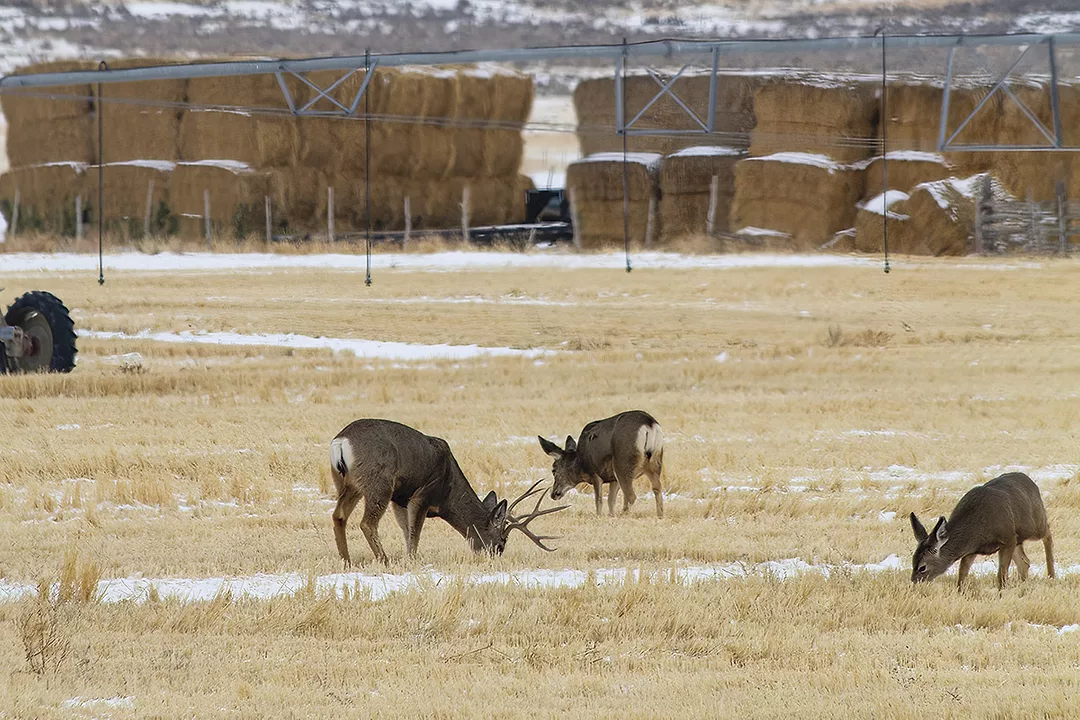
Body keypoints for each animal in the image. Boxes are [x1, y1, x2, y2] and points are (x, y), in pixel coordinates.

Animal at [330, 418, 568, 566]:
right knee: (366, 523)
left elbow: (406, 531)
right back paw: (384, 560)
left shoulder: (400, 499)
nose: (493, 559)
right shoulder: (423, 494)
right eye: (500, 545)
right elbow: (414, 533)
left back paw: (346, 561)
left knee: (339, 516)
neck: (448, 493)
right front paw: (411, 560)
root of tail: (341, 441)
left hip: (347, 483)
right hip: (379, 482)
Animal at [910, 471, 1055, 591]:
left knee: (1048, 533)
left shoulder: (1007, 538)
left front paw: (1001, 593)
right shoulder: (971, 550)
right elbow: (962, 574)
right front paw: (960, 592)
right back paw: (1023, 585)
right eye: (912, 562)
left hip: (1034, 525)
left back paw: (1051, 575)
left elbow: (1001, 574)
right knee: (1025, 561)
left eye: (922, 567)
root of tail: (1030, 481)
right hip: (1019, 538)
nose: (913, 583)